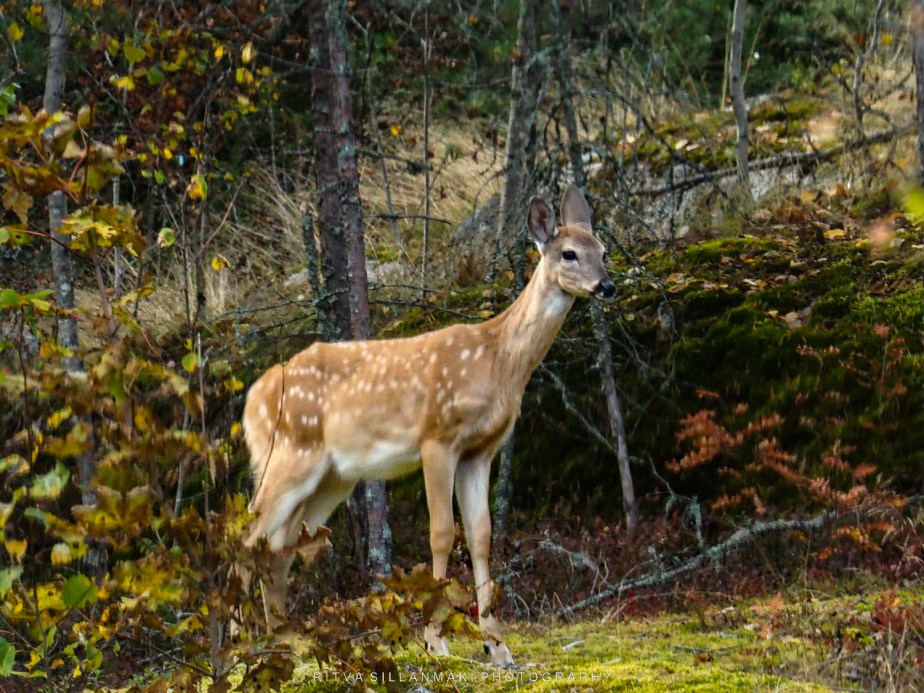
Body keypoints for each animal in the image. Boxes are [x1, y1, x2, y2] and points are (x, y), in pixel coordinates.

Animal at [239, 184, 614, 666]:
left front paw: (497, 645)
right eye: (568, 253)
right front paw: (435, 639)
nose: (606, 285)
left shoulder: (481, 450)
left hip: (332, 477)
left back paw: (282, 637)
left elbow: (481, 536)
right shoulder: (437, 438)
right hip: (286, 454)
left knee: (280, 546)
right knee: (249, 538)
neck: (497, 362)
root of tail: (252, 398)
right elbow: (440, 533)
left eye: (603, 251)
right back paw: (240, 641)